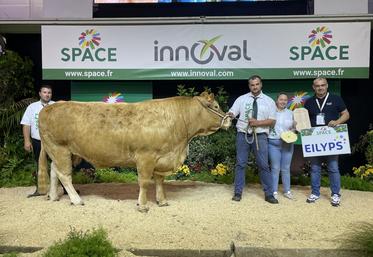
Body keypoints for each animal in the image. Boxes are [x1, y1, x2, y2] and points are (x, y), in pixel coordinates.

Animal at [37, 91, 230, 211]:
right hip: (59, 148)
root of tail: (49, 107)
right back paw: (76, 200)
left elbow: (159, 181)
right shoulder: (146, 156)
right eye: (216, 106)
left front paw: (162, 201)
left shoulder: (161, 158)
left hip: (68, 152)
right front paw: (143, 205)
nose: (232, 118)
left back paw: (53, 196)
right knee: (64, 174)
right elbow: (144, 182)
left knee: (54, 171)